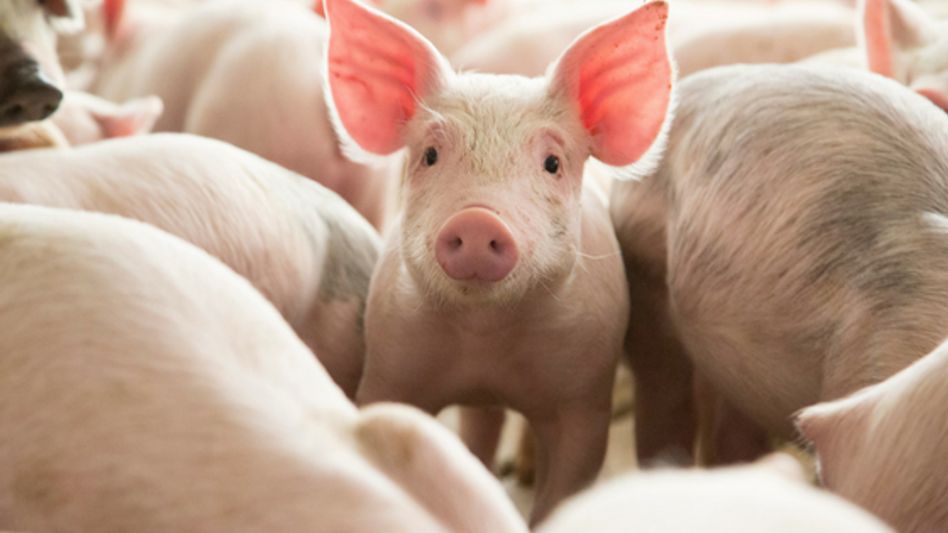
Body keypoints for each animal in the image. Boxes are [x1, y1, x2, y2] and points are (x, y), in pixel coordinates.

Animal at [323, 0, 675, 522]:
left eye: (552, 163)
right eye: (430, 154)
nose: (477, 221)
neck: (486, 335)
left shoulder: (584, 396)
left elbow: (566, 482)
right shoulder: (391, 365)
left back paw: (522, 471)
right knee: (481, 425)